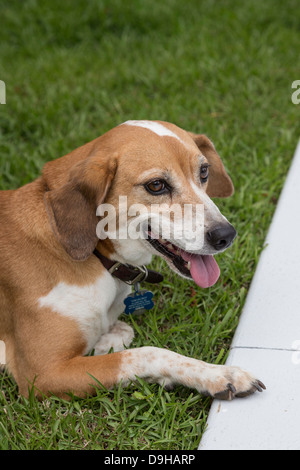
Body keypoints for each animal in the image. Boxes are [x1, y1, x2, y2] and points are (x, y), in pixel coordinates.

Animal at [0, 119, 264, 398]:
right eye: (156, 185)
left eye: (204, 172)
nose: (226, 235)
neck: (98, 257)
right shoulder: (42, 374)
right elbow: (147, 353)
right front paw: (218, 375)